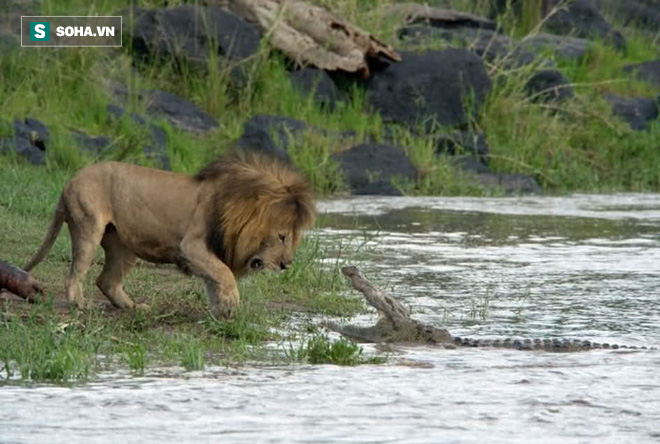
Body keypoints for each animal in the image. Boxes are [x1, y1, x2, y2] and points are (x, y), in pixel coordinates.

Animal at [21, 154, 316, 318]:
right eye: (281, 237)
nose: (286, 265)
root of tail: (69, 182)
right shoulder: (191, 245)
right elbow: (224, 273)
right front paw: (232, 304)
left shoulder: (205, 252)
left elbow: (213, 281)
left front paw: (221, 311)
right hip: (88, 225)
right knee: (75, 273)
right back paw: (80, 304)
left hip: (123, 246)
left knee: (106, 280)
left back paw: (133, 307)